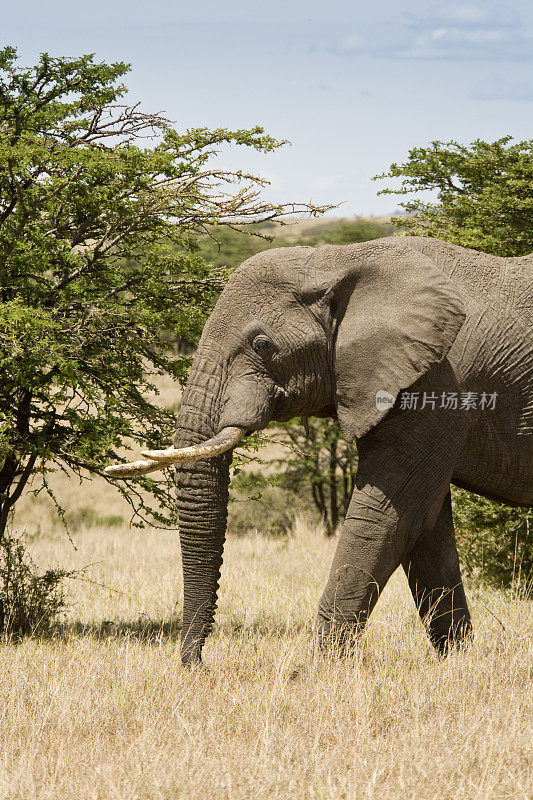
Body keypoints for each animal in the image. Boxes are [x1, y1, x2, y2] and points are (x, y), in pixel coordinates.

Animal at [105, 236, 532, 664]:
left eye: (262, 345)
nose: (195, 664)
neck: (338, 260)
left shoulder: (441, 383)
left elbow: (390, 516)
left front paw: (324, 667)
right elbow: (426, 527)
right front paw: (455, 661)